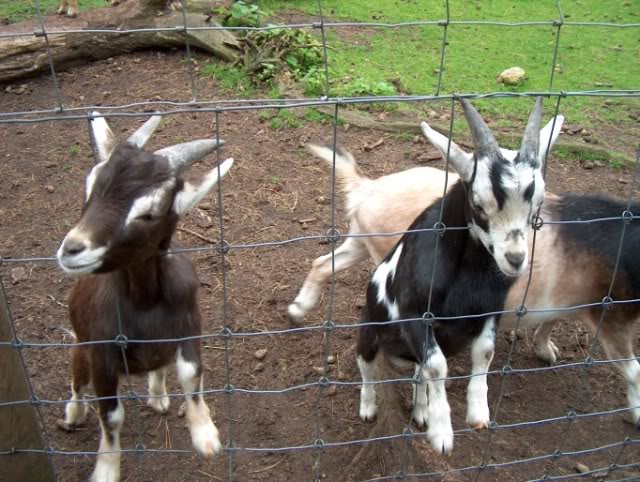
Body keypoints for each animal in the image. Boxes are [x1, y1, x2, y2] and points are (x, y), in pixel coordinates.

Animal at [54, 114, 230, 482]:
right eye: (90, 185)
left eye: (149, 213)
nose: (72, 249)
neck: (145, 302)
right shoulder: (102, 355)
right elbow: (111, 417)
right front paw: (106, 468)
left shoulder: (190, 324)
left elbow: (191, 375)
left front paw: (205, 434)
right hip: (80, 345)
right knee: (77, 379)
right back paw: (74, 414)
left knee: (159, 366)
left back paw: (158, 395)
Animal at [356, 98, 544, 452]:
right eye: (478, 204)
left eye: (537, 203)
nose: (515, 260)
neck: (469, 274)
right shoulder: (416, 314)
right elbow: (437, 365)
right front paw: (442, 434)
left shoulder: (490, 310)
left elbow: (484, 352)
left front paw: (477, 414)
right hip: (370, 332)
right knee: (368, 367)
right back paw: (369, 407)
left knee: (418, 374)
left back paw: (420, 412)